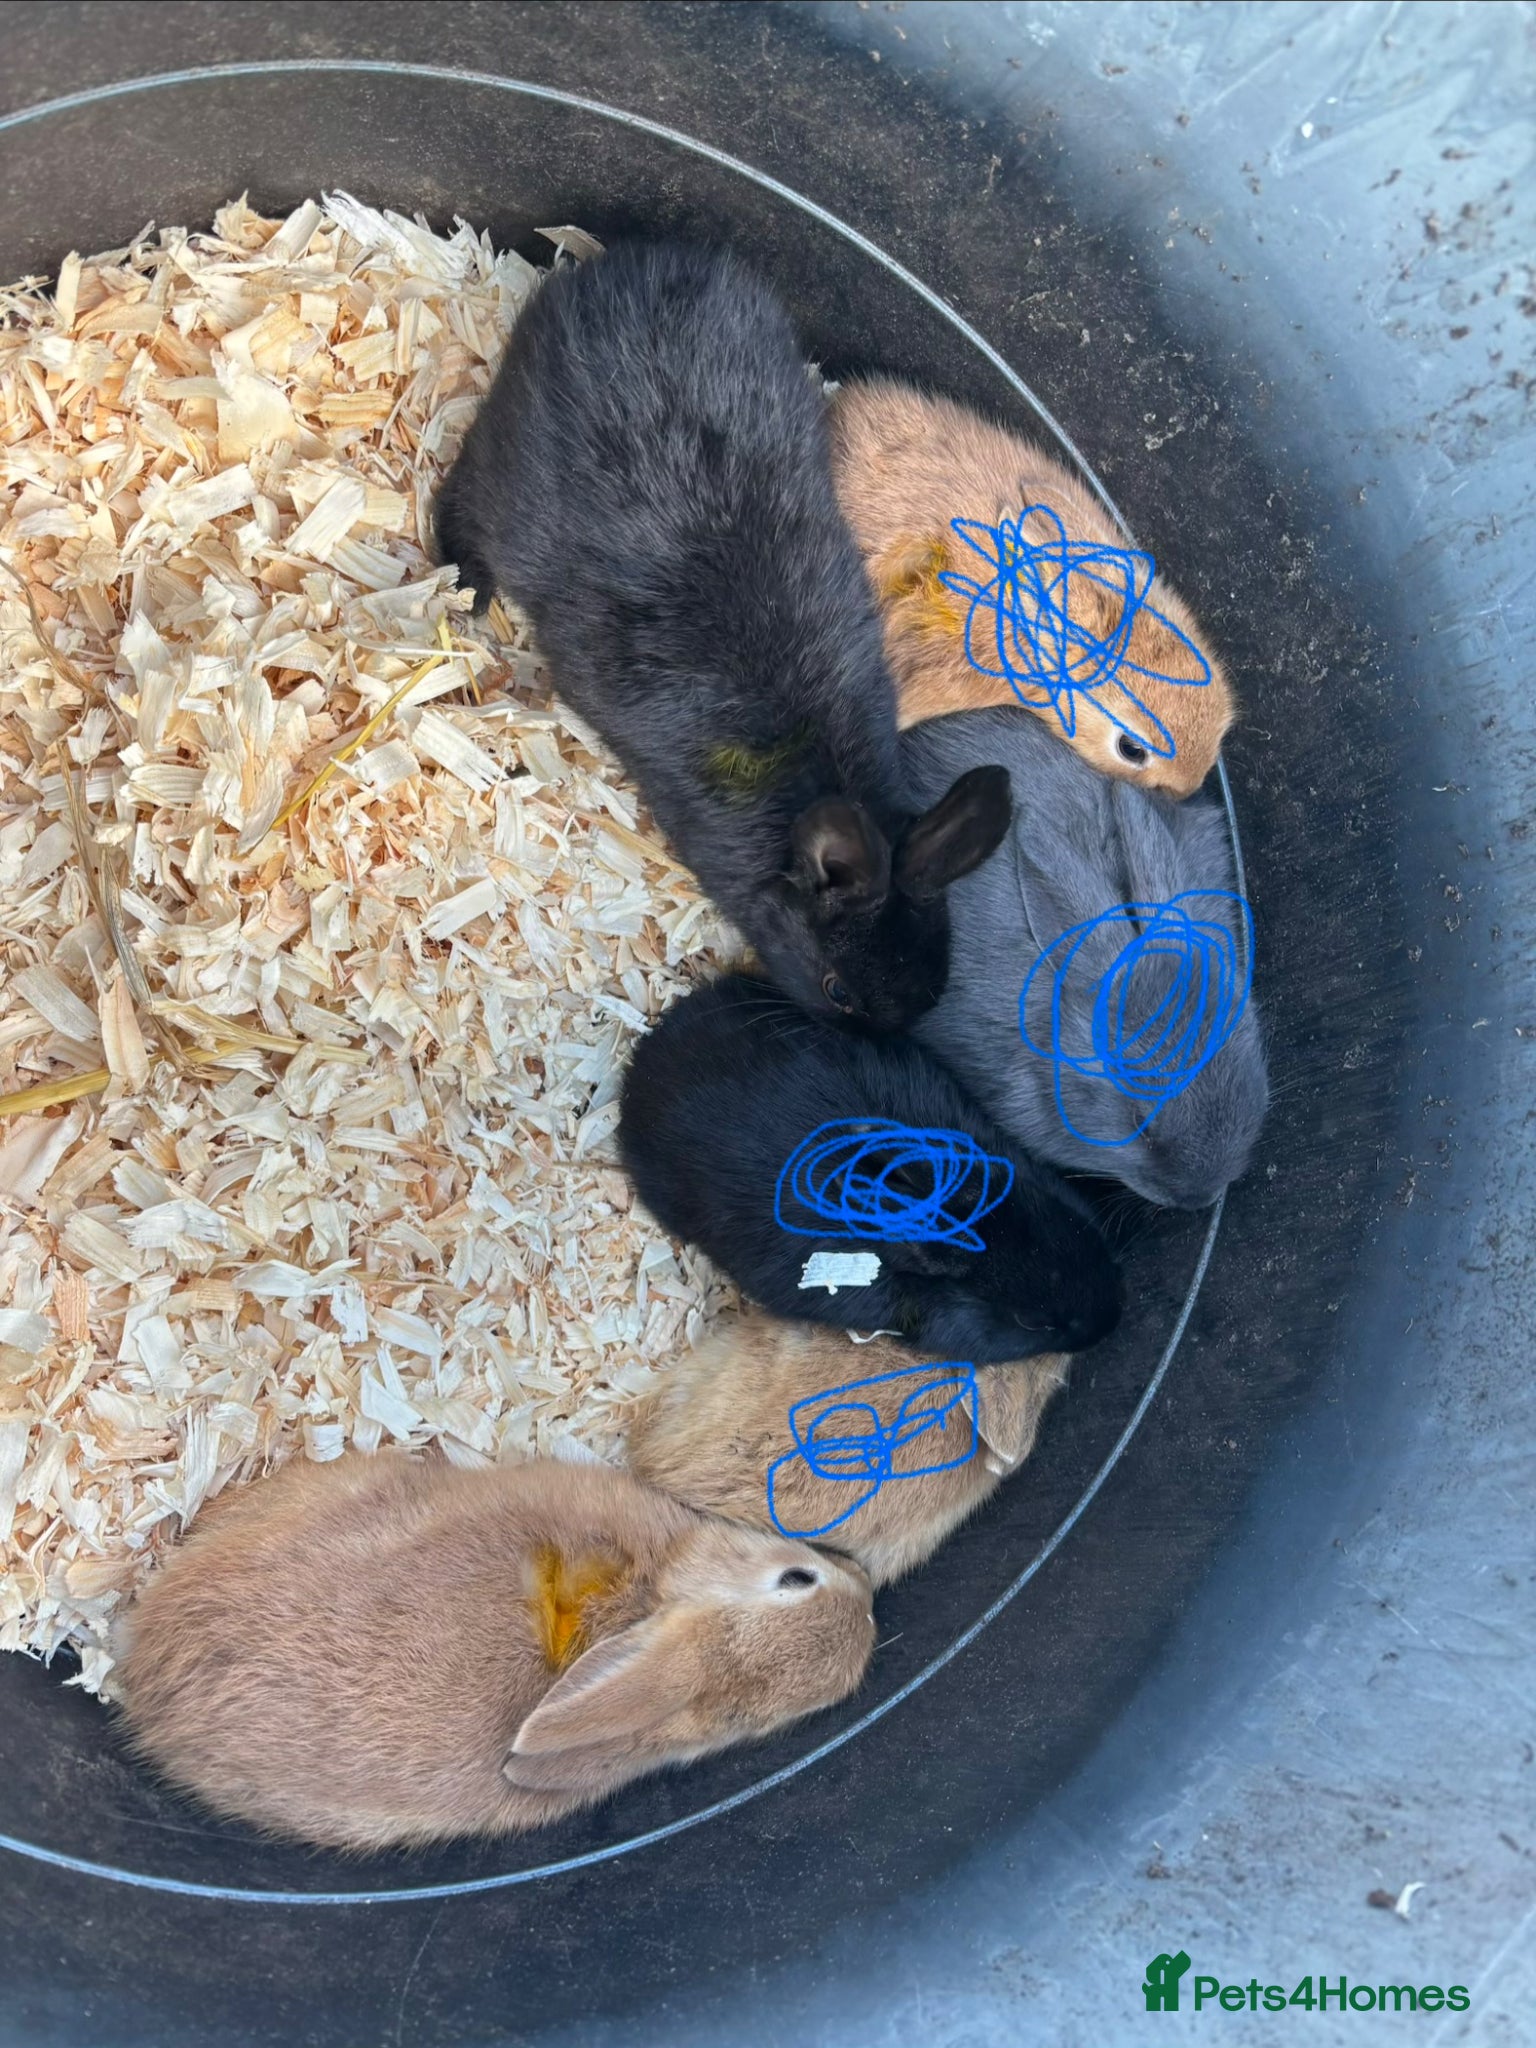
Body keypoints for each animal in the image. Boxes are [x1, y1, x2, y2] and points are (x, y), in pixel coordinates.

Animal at [433, 244, 1013, 1034]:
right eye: (837, 989)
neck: (820, 776)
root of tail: (625, 266)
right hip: (505, 474)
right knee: (459, 498)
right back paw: (465, 587)